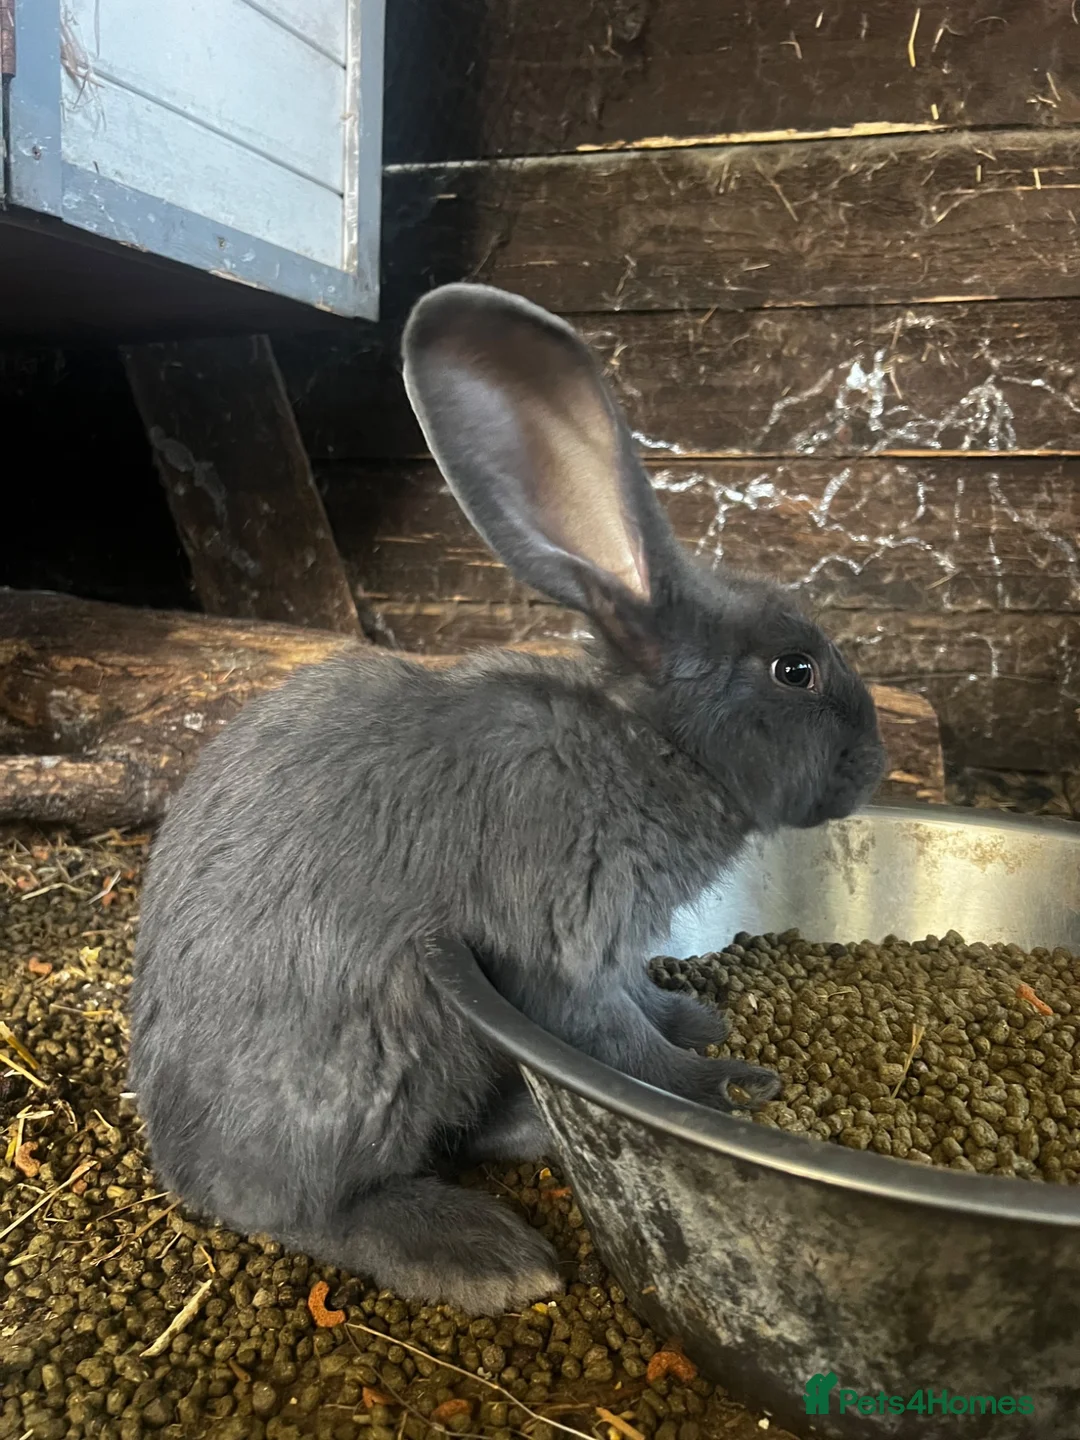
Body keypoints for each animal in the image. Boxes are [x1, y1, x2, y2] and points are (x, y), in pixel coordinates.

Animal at [129, 283, 886, 1316]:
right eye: (795, 669)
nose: (876, 764)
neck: (652, 743)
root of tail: (183, 1173)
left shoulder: (615, 951)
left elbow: (641, 1003)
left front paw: (699, 1019)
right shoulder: (563, 952)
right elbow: (623, 1046)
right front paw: (725, 1082)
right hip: (394, 1051)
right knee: (317, 1211)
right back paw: (487, 1255)